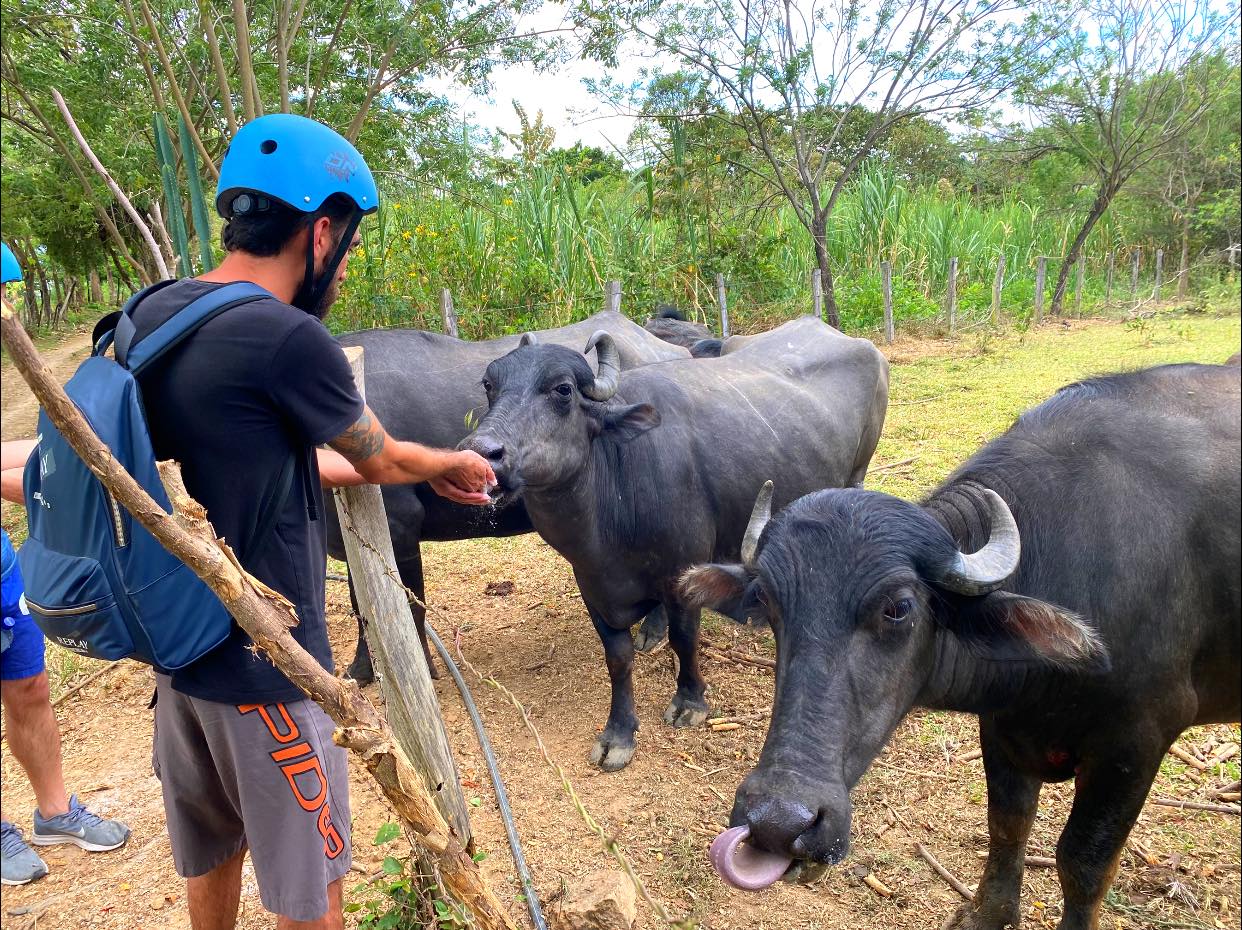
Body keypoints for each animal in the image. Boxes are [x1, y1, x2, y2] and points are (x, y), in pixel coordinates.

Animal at [322, 311, 690, 680]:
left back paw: (653, 630)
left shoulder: (400, 527)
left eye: (563, 389)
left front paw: (421, 666)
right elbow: (360, 604)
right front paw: (361, 668)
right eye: (488, 385)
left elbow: (408, 606)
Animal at [462, 320, 889, 769]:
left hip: (857, 473)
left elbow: (686, 639)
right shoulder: (592, 588)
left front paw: (690, 701)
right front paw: (618, 732)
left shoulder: (683, 574)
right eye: (490, 384)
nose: (483, 454)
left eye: (562, 390)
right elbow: (618, 658)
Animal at [685, 360, 1237, 928]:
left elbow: (1082, 863)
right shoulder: (1004, 728)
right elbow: (1007, 825)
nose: (777, 822)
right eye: (769, 606)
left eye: (899, 608)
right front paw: (987, 912)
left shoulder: (1136, 744)